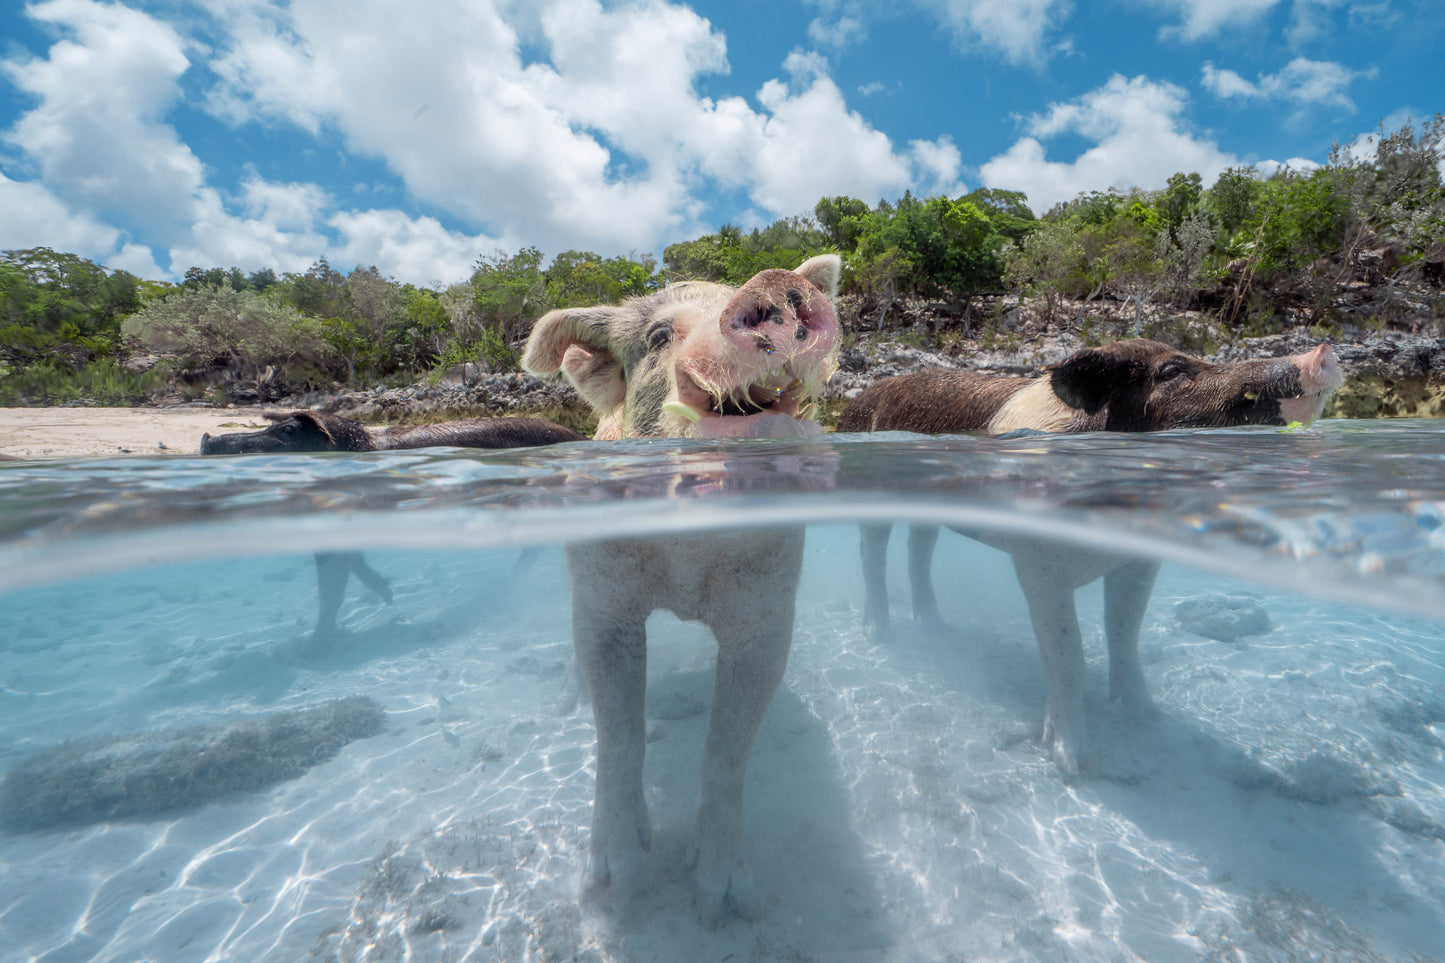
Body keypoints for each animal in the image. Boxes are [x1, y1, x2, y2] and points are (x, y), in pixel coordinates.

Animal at [523, 253, 843, 925]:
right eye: (658, 336)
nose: (777, 286)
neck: (688, 559)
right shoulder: (604, 597)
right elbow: (619, 734)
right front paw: (612, 888)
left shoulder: (767, 611)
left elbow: (726, 750)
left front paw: (721, 902)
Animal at [838, 336, 1340, 775]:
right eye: (1172, 371)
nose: (1323, 350)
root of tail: (857, 400)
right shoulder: (1037, 560)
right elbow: (1067, 654)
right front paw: (1072, 763)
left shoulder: (1139, 561)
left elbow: (1124, 632)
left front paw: (1147, 720)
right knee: (871, 551)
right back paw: (879, 635)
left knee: (919, 547)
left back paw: (935, 627)